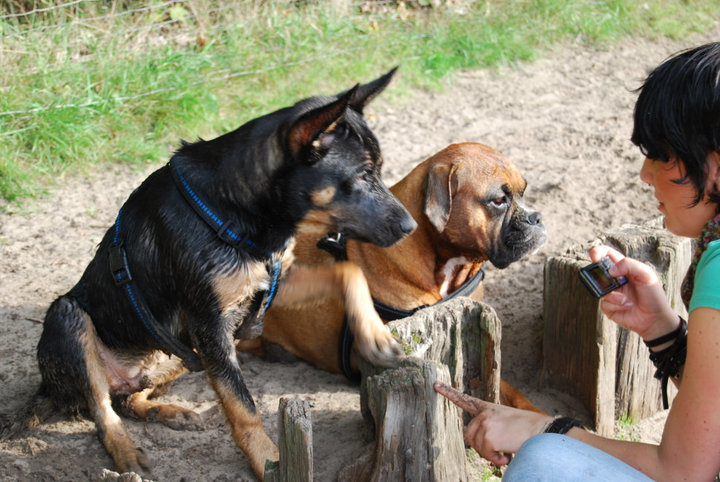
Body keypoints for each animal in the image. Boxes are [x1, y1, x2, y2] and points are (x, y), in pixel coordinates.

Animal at [11, 69, 416, 480]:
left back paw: (166, 411)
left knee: (126, 398)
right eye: (362, 175)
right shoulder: (211, 325)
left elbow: (350, 271)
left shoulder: (273, 284)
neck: (240, 210)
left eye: (379, 171)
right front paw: (265, 458)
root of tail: (49, 390)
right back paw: (125, 453)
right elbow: (242, 405)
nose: (411, 227)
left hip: (179, 353)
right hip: (70, 318)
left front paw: (374, 334)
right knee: (103, 412)